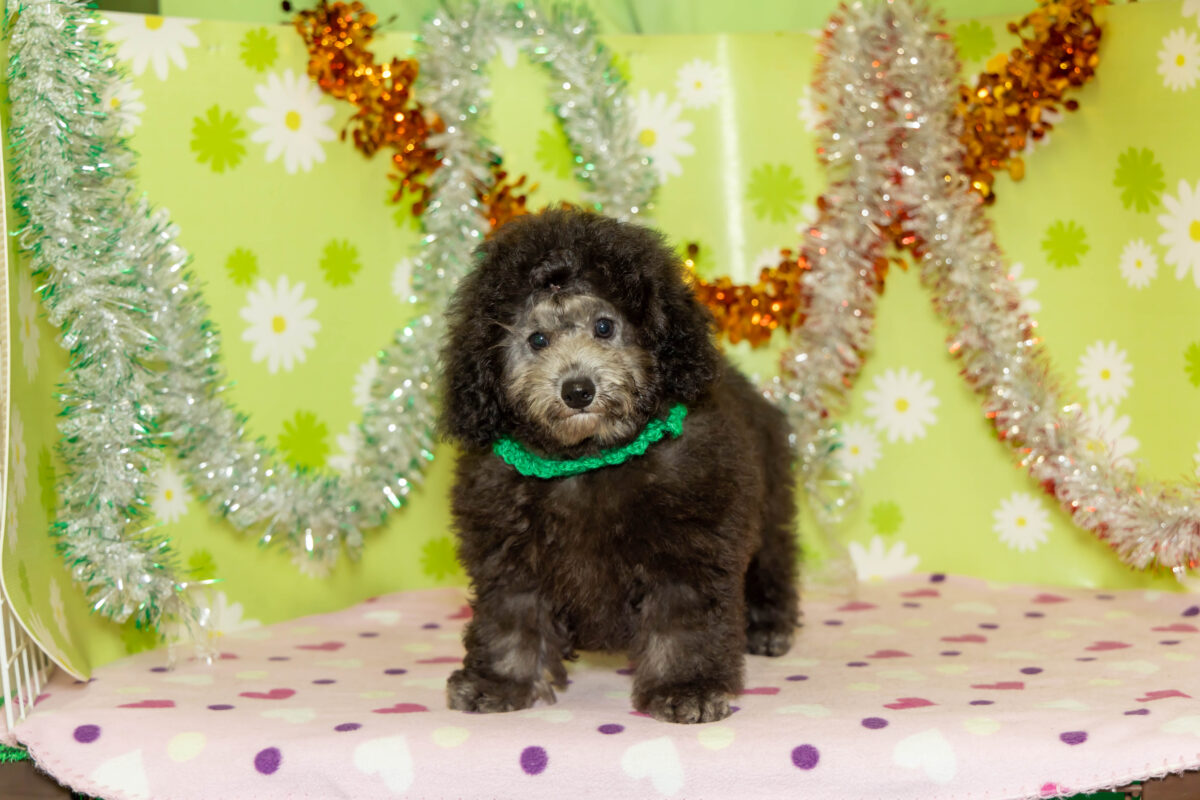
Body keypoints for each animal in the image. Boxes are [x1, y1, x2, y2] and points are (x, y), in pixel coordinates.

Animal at [439, 207, 799, 724]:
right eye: (538, 339)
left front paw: (685, 688)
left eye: (605, 327)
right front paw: (499, 681)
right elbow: (509, 617)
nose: (577, 390)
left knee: (773, 556)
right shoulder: (508, 555)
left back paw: (769, 624)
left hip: (767, 505)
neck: (590, 459)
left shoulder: (689, 548)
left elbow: (683, 622)